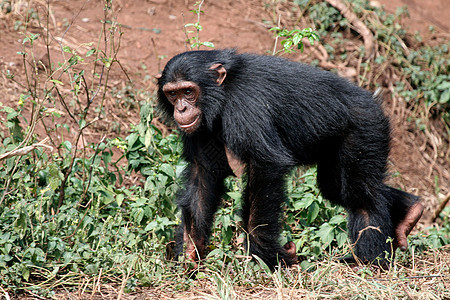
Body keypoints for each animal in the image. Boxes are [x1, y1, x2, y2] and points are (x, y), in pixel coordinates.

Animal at [156, 49, 424, 270]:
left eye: (188, 92)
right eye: (173, 94)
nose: (181, 109)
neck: (222, 93)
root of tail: (375, 101)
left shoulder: (246, 105)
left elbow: (265, 166)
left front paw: (267, 255)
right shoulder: (200, 131)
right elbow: (203, 175)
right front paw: (190, 250)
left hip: (366, 129)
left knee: (360, 195)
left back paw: (370, 261)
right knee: (336, 188)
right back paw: (409, 211)